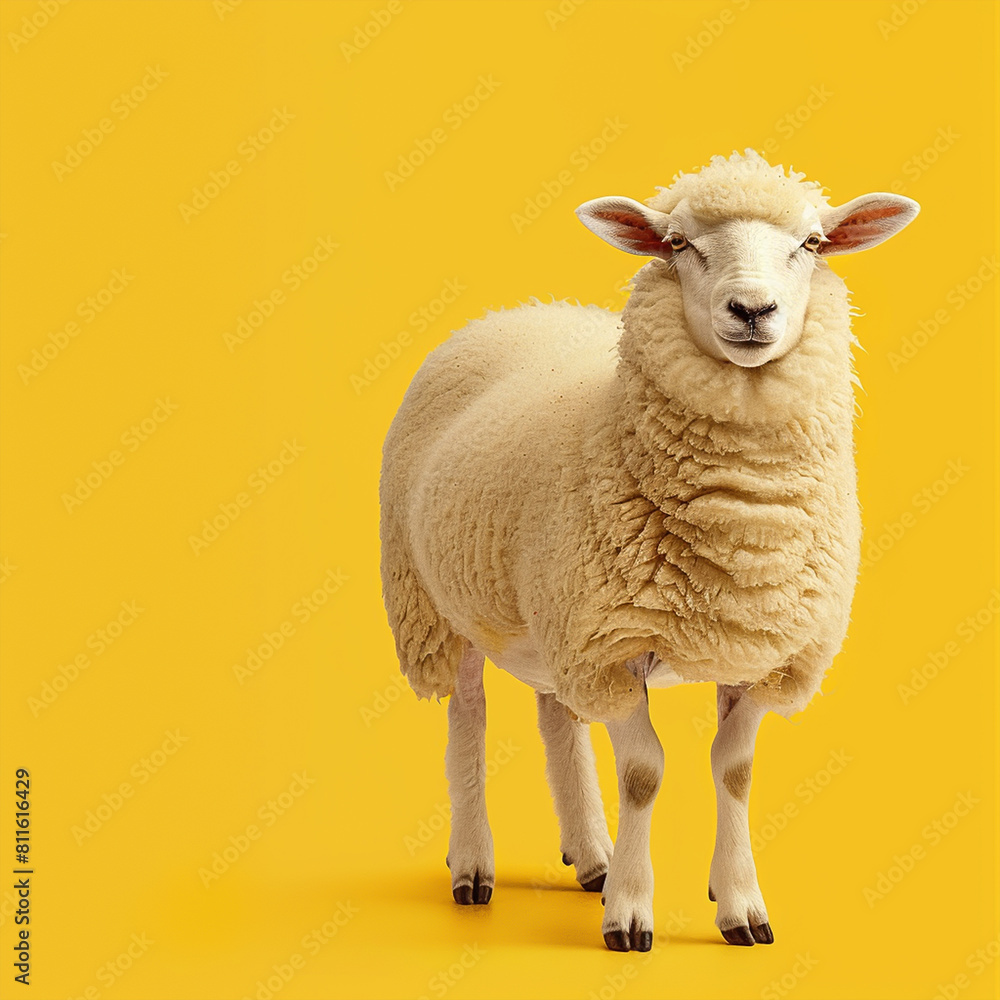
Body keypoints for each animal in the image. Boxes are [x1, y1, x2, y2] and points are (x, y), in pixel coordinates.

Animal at [379, 150, 919, 952]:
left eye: (812, 243)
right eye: (678, 244)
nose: (751, 310)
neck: (739, 531)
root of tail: (518, 310)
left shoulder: (755, 646)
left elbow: (734, 770)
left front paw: (738, 904)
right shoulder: (615, 641)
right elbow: (643, 773)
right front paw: (631, 914)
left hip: (554, 615)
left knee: (557, 718)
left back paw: (592, 857)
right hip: (441, 604)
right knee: (468, 719)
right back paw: (474, 865)